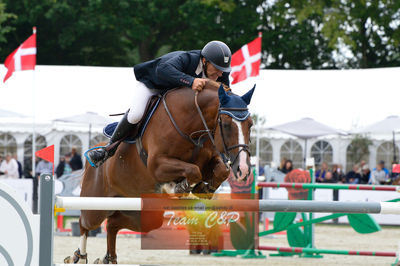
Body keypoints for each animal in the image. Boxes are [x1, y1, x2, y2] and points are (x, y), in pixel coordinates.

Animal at [64, 81, 255, 264]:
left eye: (250, 124)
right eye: (226, 124)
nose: (243, 169)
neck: (191, 124)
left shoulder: (209, 159)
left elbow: (220, 171)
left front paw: (204, 188)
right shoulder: (157, 165)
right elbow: (193, 170)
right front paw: (178, 187)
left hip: (144, 215)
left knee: (112, 224)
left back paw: (108, 259)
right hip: (96, 204)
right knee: (85, 223)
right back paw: (79, 257)